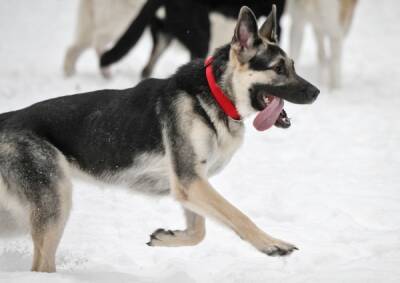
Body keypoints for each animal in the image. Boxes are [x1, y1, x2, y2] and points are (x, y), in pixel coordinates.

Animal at [0, 6, 318, 272]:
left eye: (292, 65)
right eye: (278, 69)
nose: (316, 92)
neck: (215, 95)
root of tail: (8, 118)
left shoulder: (188, 184)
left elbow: (199, 232)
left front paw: (167, 238)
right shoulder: (191, 181)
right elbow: (238, 215)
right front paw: (272, 243)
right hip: (55, 205)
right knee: (41, 266)